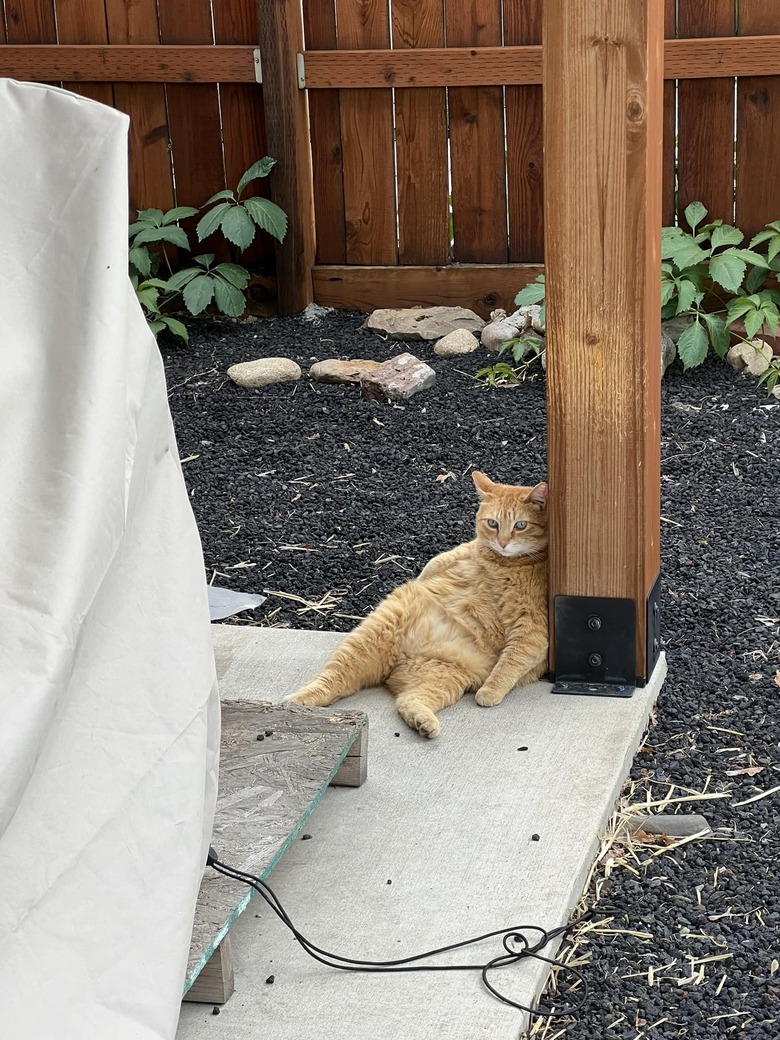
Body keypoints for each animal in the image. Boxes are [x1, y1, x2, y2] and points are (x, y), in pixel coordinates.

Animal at [284, 476, 549, 736]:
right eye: (493, 523)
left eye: (520, 525)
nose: (502, 543)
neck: (503, 563)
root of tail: (401, 660)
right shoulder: (467, 548)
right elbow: (439, 560)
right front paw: (424, 577)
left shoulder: (533, 630)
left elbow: (511, 662)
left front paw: (490, 691)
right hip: (368, 642)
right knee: (331, 679)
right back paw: (297, 704)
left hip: (441, 676)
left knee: (407, 700)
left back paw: (422, 722)